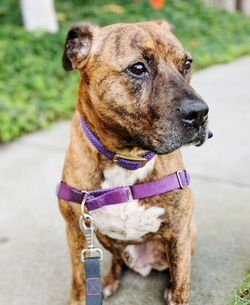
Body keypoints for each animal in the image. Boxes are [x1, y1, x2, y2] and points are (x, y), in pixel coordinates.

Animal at [59, 19, 209, 304]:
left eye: (187, 63)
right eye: (138, 68)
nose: (200, 113)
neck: (128, 158)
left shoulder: (179, 232)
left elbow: (181, 283)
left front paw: (176, 291)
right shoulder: (75, 229)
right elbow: (79, 282)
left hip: (190, 233)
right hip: (103, 237)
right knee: (117, 260)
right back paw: (108, 281)